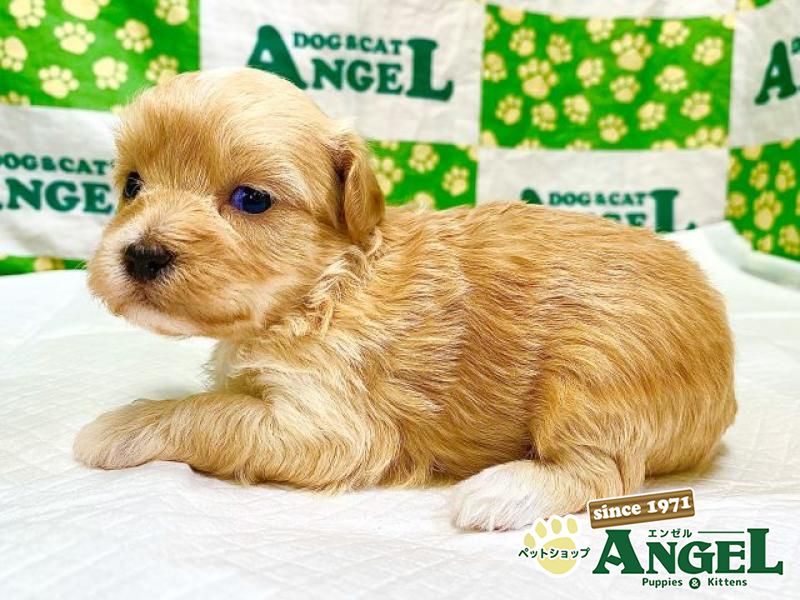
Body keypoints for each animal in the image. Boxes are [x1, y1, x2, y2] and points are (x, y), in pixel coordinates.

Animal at [75, 67, 736, 531]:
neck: (327, 284)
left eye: (251, 200)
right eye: (132, 184)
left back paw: (501, 491)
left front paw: (118, 425)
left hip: (595, 370)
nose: (139, 254)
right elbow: (216, 399)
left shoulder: (328, 426)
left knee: (604, 471)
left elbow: (203, 413)